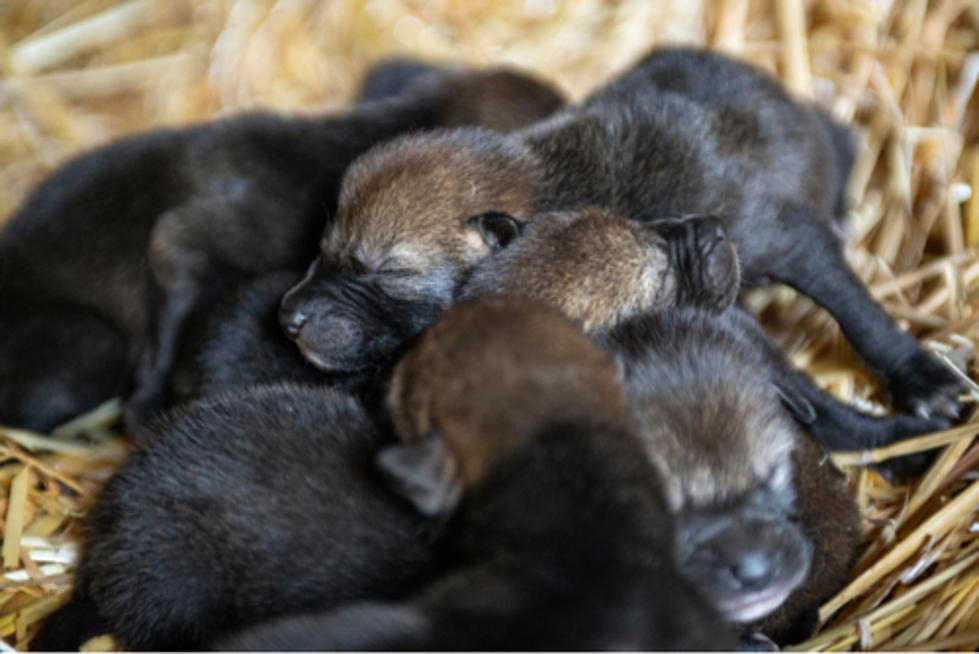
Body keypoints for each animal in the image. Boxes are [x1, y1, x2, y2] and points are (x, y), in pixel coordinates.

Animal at [284, 47, 964, 426]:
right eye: (325, 249)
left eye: (381, 269)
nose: (286, 318)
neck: (560, 181)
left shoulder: (785, 236)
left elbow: (856, 309)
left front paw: (924, 381)